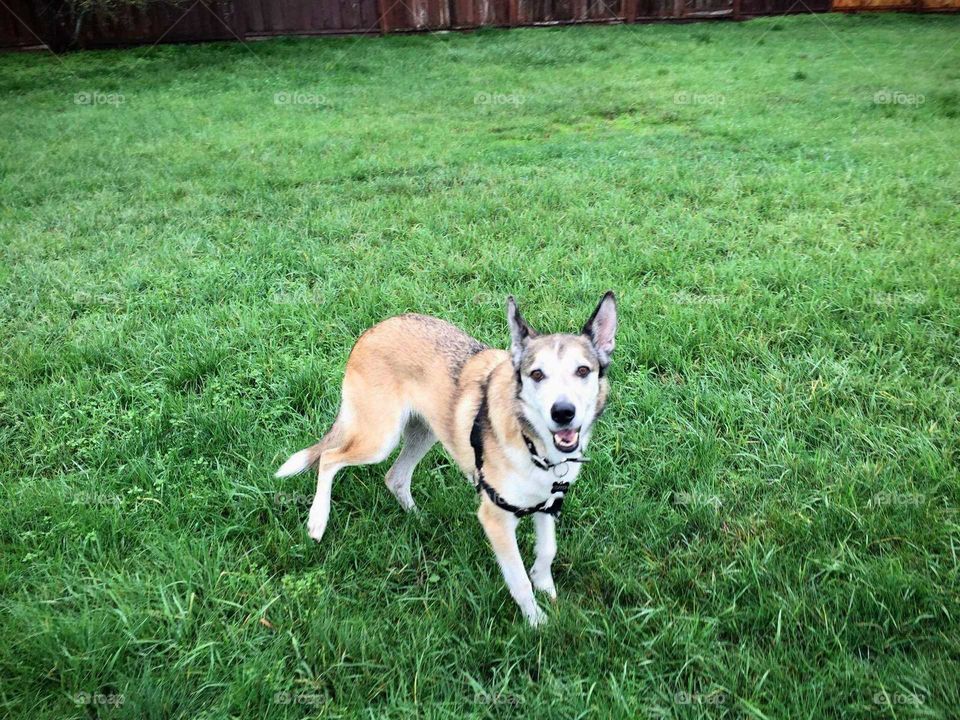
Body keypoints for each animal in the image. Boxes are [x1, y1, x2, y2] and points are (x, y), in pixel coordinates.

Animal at [274, 292, 620, 624]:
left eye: (583, 371)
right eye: (536, 374)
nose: (563, 413)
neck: (533, 442)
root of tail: (374, 329)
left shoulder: (548, 503)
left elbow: (548, 550)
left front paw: (546, 587)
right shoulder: (495, 518)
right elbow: (519, 580)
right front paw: (536, 621)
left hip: (424, 432)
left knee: (394, 477)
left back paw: (418, 518)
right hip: (379, 439)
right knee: (329, 458)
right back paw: (318, 519)